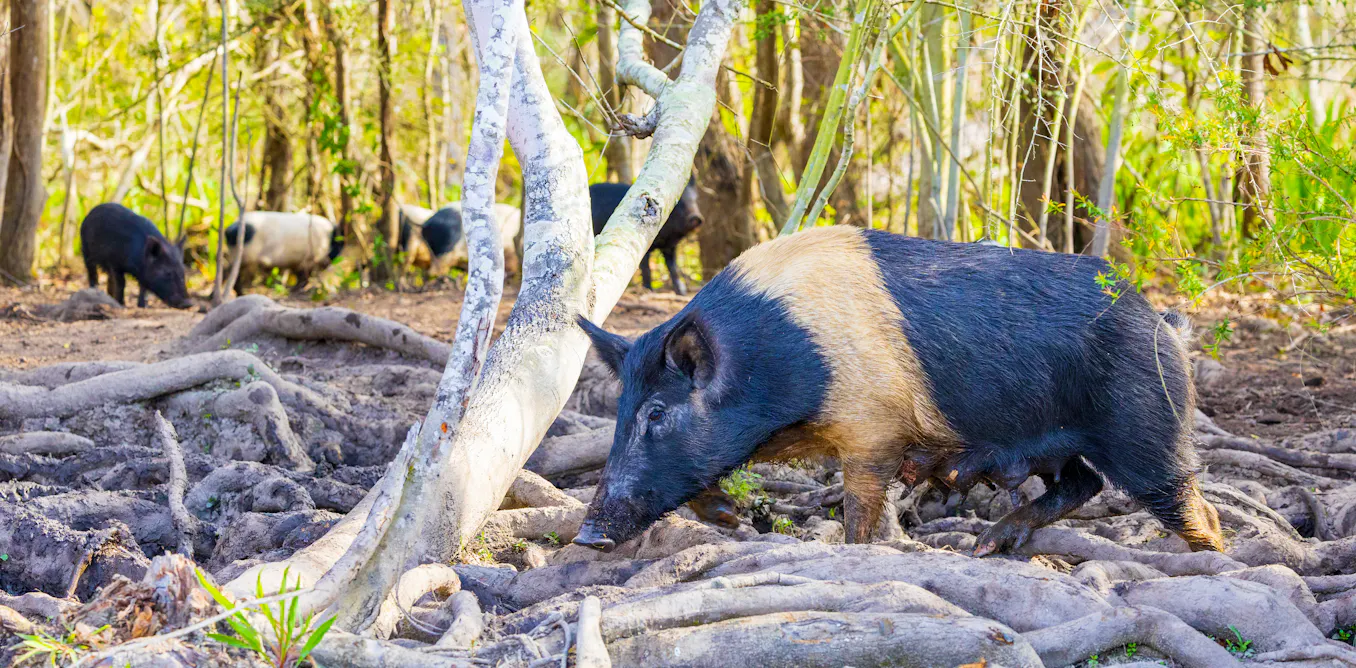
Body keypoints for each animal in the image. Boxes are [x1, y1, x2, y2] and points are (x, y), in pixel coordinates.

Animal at [574, 226, 1225, 557]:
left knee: (1189, 500)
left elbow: (862, 505)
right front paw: (731, 518)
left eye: (657, 414)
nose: (587, 534)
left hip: (1147, 425)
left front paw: (855, 552)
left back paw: (1206, 558)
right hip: (1062, 442)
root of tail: (1165, 321)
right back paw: (988, 546)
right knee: (1082, 483)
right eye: (622, 413)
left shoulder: (872, 428)